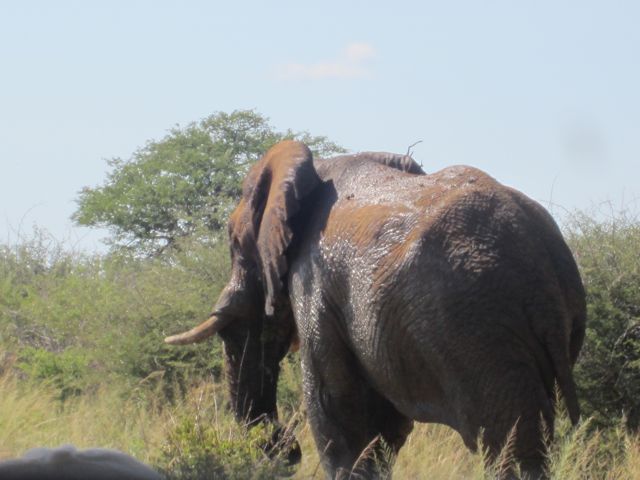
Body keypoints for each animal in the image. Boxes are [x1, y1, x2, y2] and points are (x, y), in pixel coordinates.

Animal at [165, 141, 584, 478]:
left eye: (234, 244)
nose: (287, 451)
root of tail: (541, 252)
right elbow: (382, 427)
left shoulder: (315, 281)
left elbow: (337, 409)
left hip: (478, 329)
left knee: (507, 444)